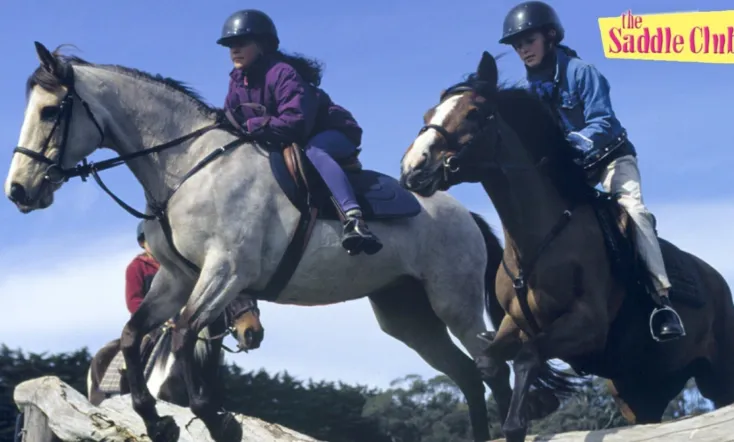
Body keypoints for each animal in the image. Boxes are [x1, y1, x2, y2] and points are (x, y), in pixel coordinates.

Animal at [399, 50, 734, 442]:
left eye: (474, 112)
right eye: (428, 116)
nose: (412, 169)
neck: (537, 241)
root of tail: (717, 280)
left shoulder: (587, 324)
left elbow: (528, 357)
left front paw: (520, 420)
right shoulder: (514, 324)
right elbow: (489, 360)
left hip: (719, 375)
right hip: (638, 391)